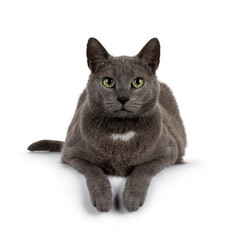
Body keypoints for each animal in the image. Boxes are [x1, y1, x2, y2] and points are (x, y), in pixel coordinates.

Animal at [27, 37, 186, 212]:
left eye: (138, 82)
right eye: (108, 82)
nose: (123, 98)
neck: (121, 129)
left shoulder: (170, 152)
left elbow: (142, 169)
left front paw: (131, 198)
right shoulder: (71, 152)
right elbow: (95, 171)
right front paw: (103, 200)